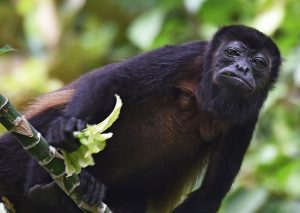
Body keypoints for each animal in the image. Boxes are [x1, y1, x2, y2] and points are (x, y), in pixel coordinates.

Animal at [0, 25, 282, 213]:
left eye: (258, 63)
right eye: (232, 52)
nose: (242, 68)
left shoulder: (246, 121)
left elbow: (211, 191)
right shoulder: (187, 56)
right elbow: (111, 82)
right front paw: (68, 127)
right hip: (15, 149)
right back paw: (43, 189)